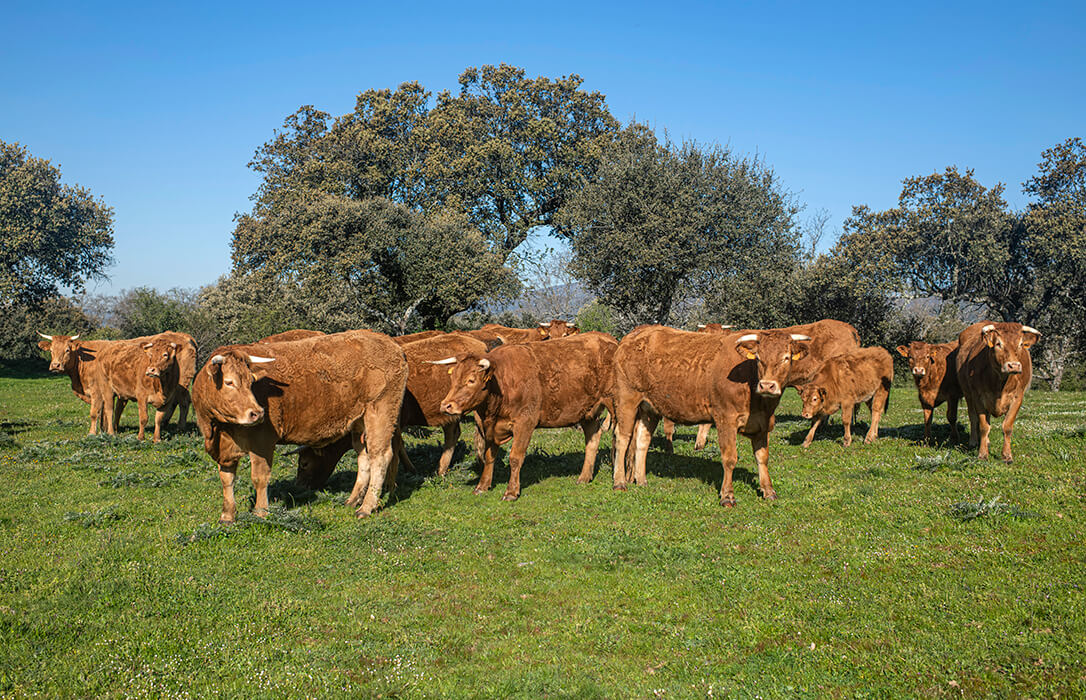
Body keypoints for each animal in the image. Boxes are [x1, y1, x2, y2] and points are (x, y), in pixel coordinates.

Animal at [191, 329, 408, 520]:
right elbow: (227, 479)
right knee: (363, 456)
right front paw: (227, 516)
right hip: (359, 422)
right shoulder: (224, 450)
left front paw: (260, 512)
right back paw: (353, 500)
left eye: (251, 382)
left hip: (380, 412)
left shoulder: (262, 442)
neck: (219, 430)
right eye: (229, 382)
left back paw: (366, 507)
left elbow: (259, 477)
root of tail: (389, 342)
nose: (258, 413)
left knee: (380, 456)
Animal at [434, 332, 621, 499]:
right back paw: (584, 477)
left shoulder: (525, 424)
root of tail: (610, 340)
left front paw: (511, 492)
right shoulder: (490, 427)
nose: (446, 405)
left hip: (615, 405)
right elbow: (489, 456)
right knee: (593, 439)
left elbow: (515, 458)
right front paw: (482, 486)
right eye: (453, 378)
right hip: (587, 412)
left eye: (471, 380)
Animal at [608, 325, 812, 505]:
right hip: (627, 400)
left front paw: (769, 491)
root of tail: (636, 334)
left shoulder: (762, 424)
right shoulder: (725, 420)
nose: (767, 385)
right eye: (759, 358)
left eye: (786, 358)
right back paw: (619, 482)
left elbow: (762, 458)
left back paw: (641, 480)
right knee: (622, 438)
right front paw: (727, 496)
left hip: (649, 409)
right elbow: (730, 458)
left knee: (642, 441)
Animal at [955, 321, 1038, 462]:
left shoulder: (1018, 398)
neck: (1000, 384)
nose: (1014, 366)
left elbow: (1007, 427)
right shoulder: (978, 397)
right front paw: (982, 454)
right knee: (973, 417)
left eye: (1020, 344)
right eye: (998, 344)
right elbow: (983, 426)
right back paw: (973, 441)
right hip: (968, 394)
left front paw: (1007, 455)